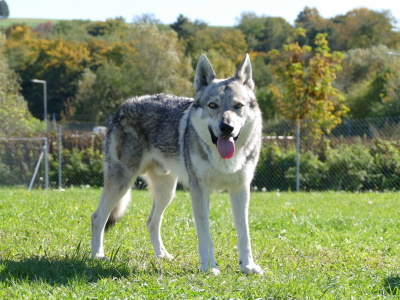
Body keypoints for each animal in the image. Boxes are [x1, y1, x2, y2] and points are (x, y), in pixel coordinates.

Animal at [92, 54, 264, 274]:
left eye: (238, 106)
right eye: (212, 105)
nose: (226, 127)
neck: (224, 161)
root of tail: (124, 105)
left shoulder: (241, 190)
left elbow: (245, 235)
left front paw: (248, 267)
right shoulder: (199, 192)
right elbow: (205, 236)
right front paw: (209, 267)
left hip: (167, 191)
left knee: (151, 222)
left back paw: (162, 256)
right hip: (122, 184)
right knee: (97, 218)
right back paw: (97, 256)